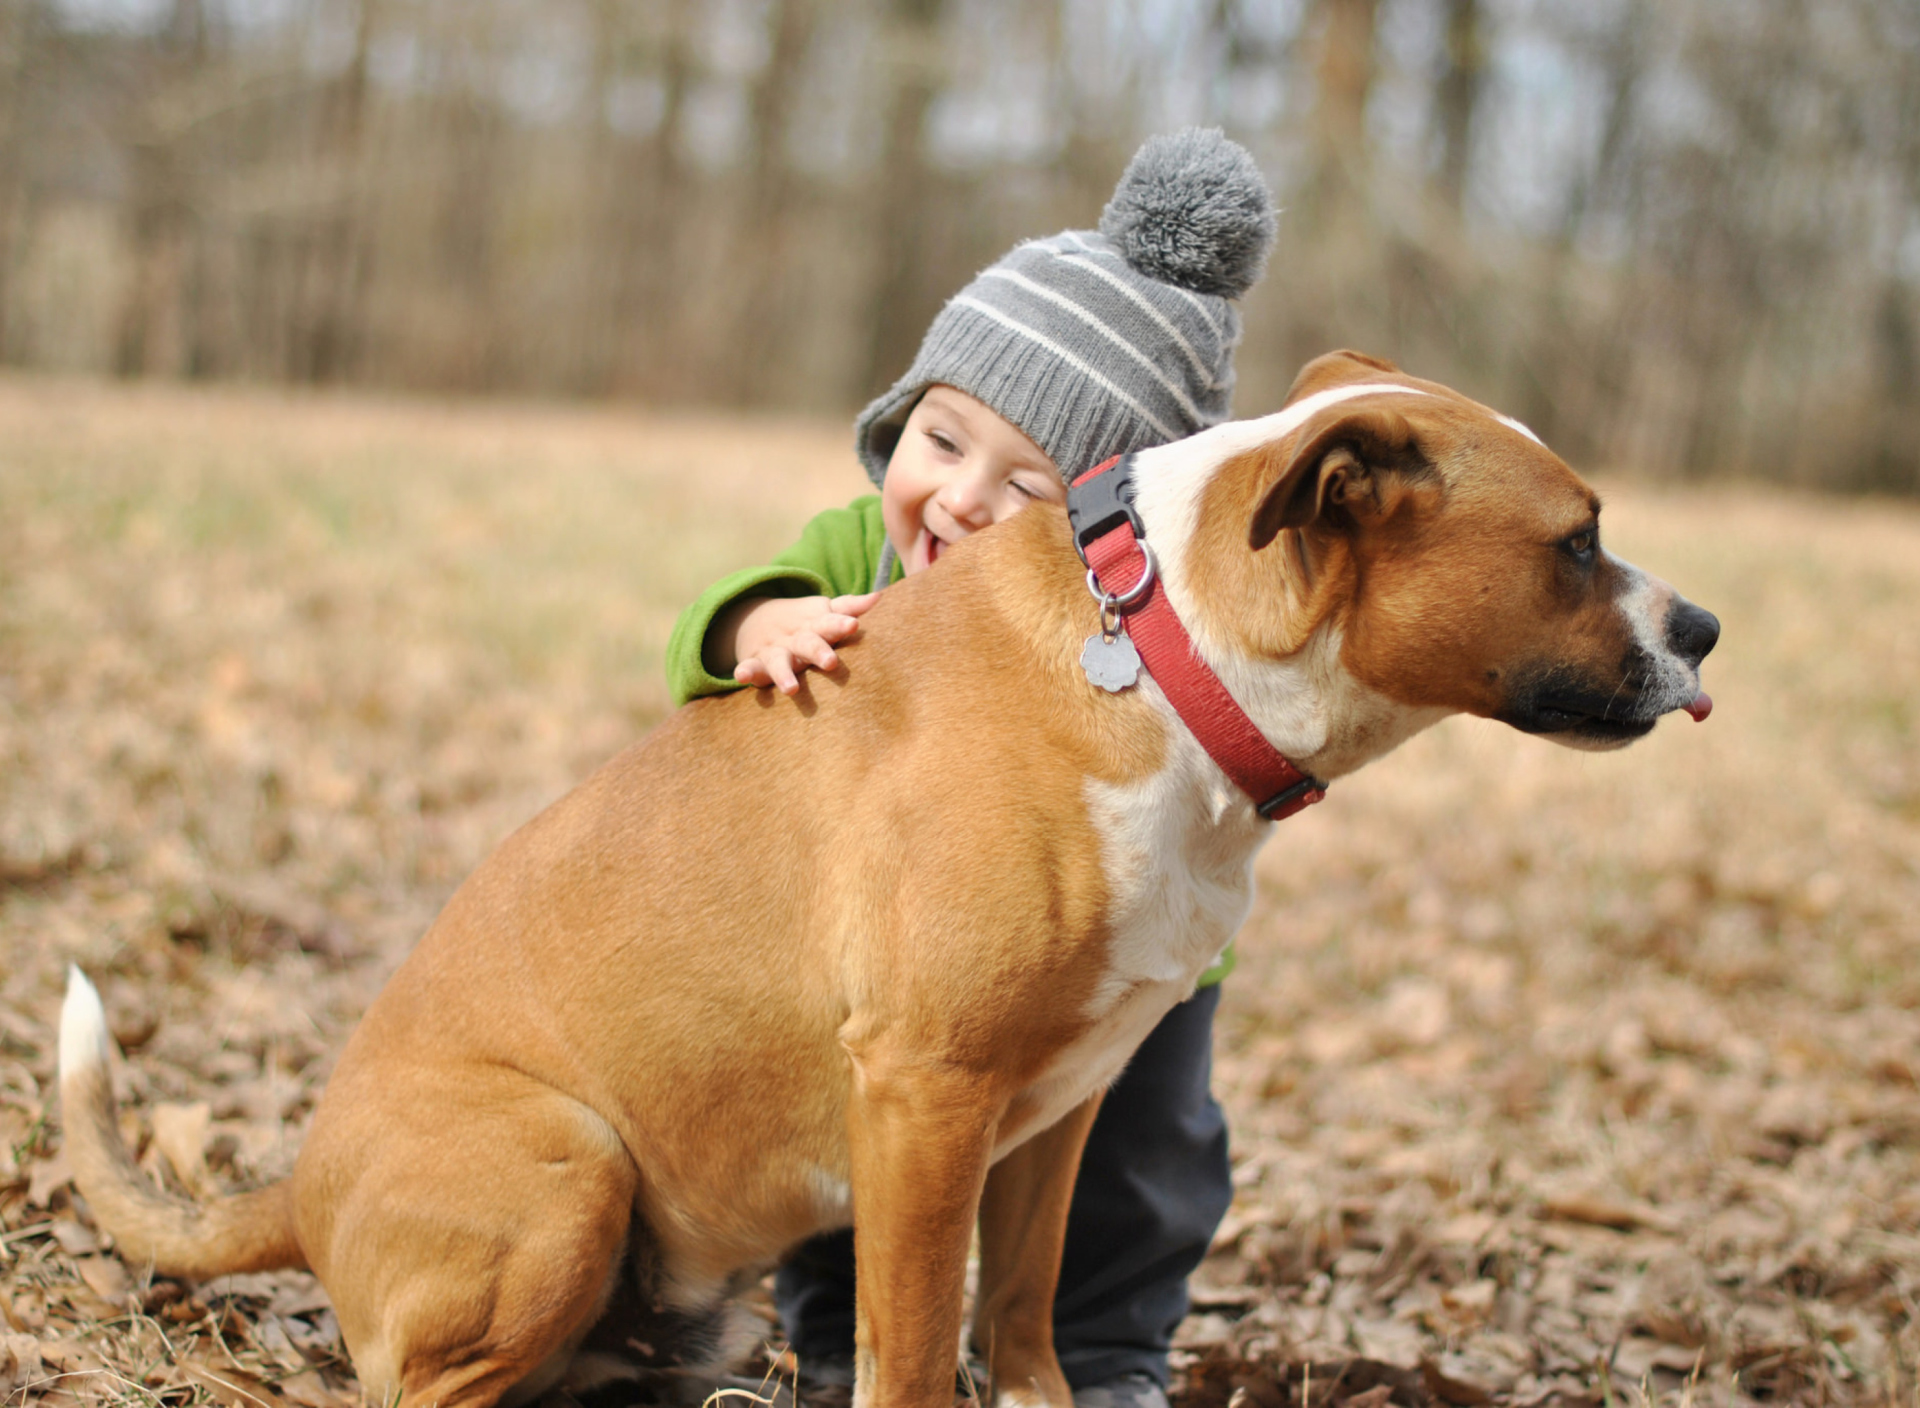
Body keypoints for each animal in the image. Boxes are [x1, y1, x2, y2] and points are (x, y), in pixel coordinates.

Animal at [60, 351, 1720, 1406]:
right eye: (1578, 544)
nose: (1704, 627)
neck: (1161, 659)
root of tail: (298, 1184)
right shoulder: (927, 1099)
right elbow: (919, 1350)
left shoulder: (1060, 1103)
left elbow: (1029, 1308)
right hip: (570, 1167)